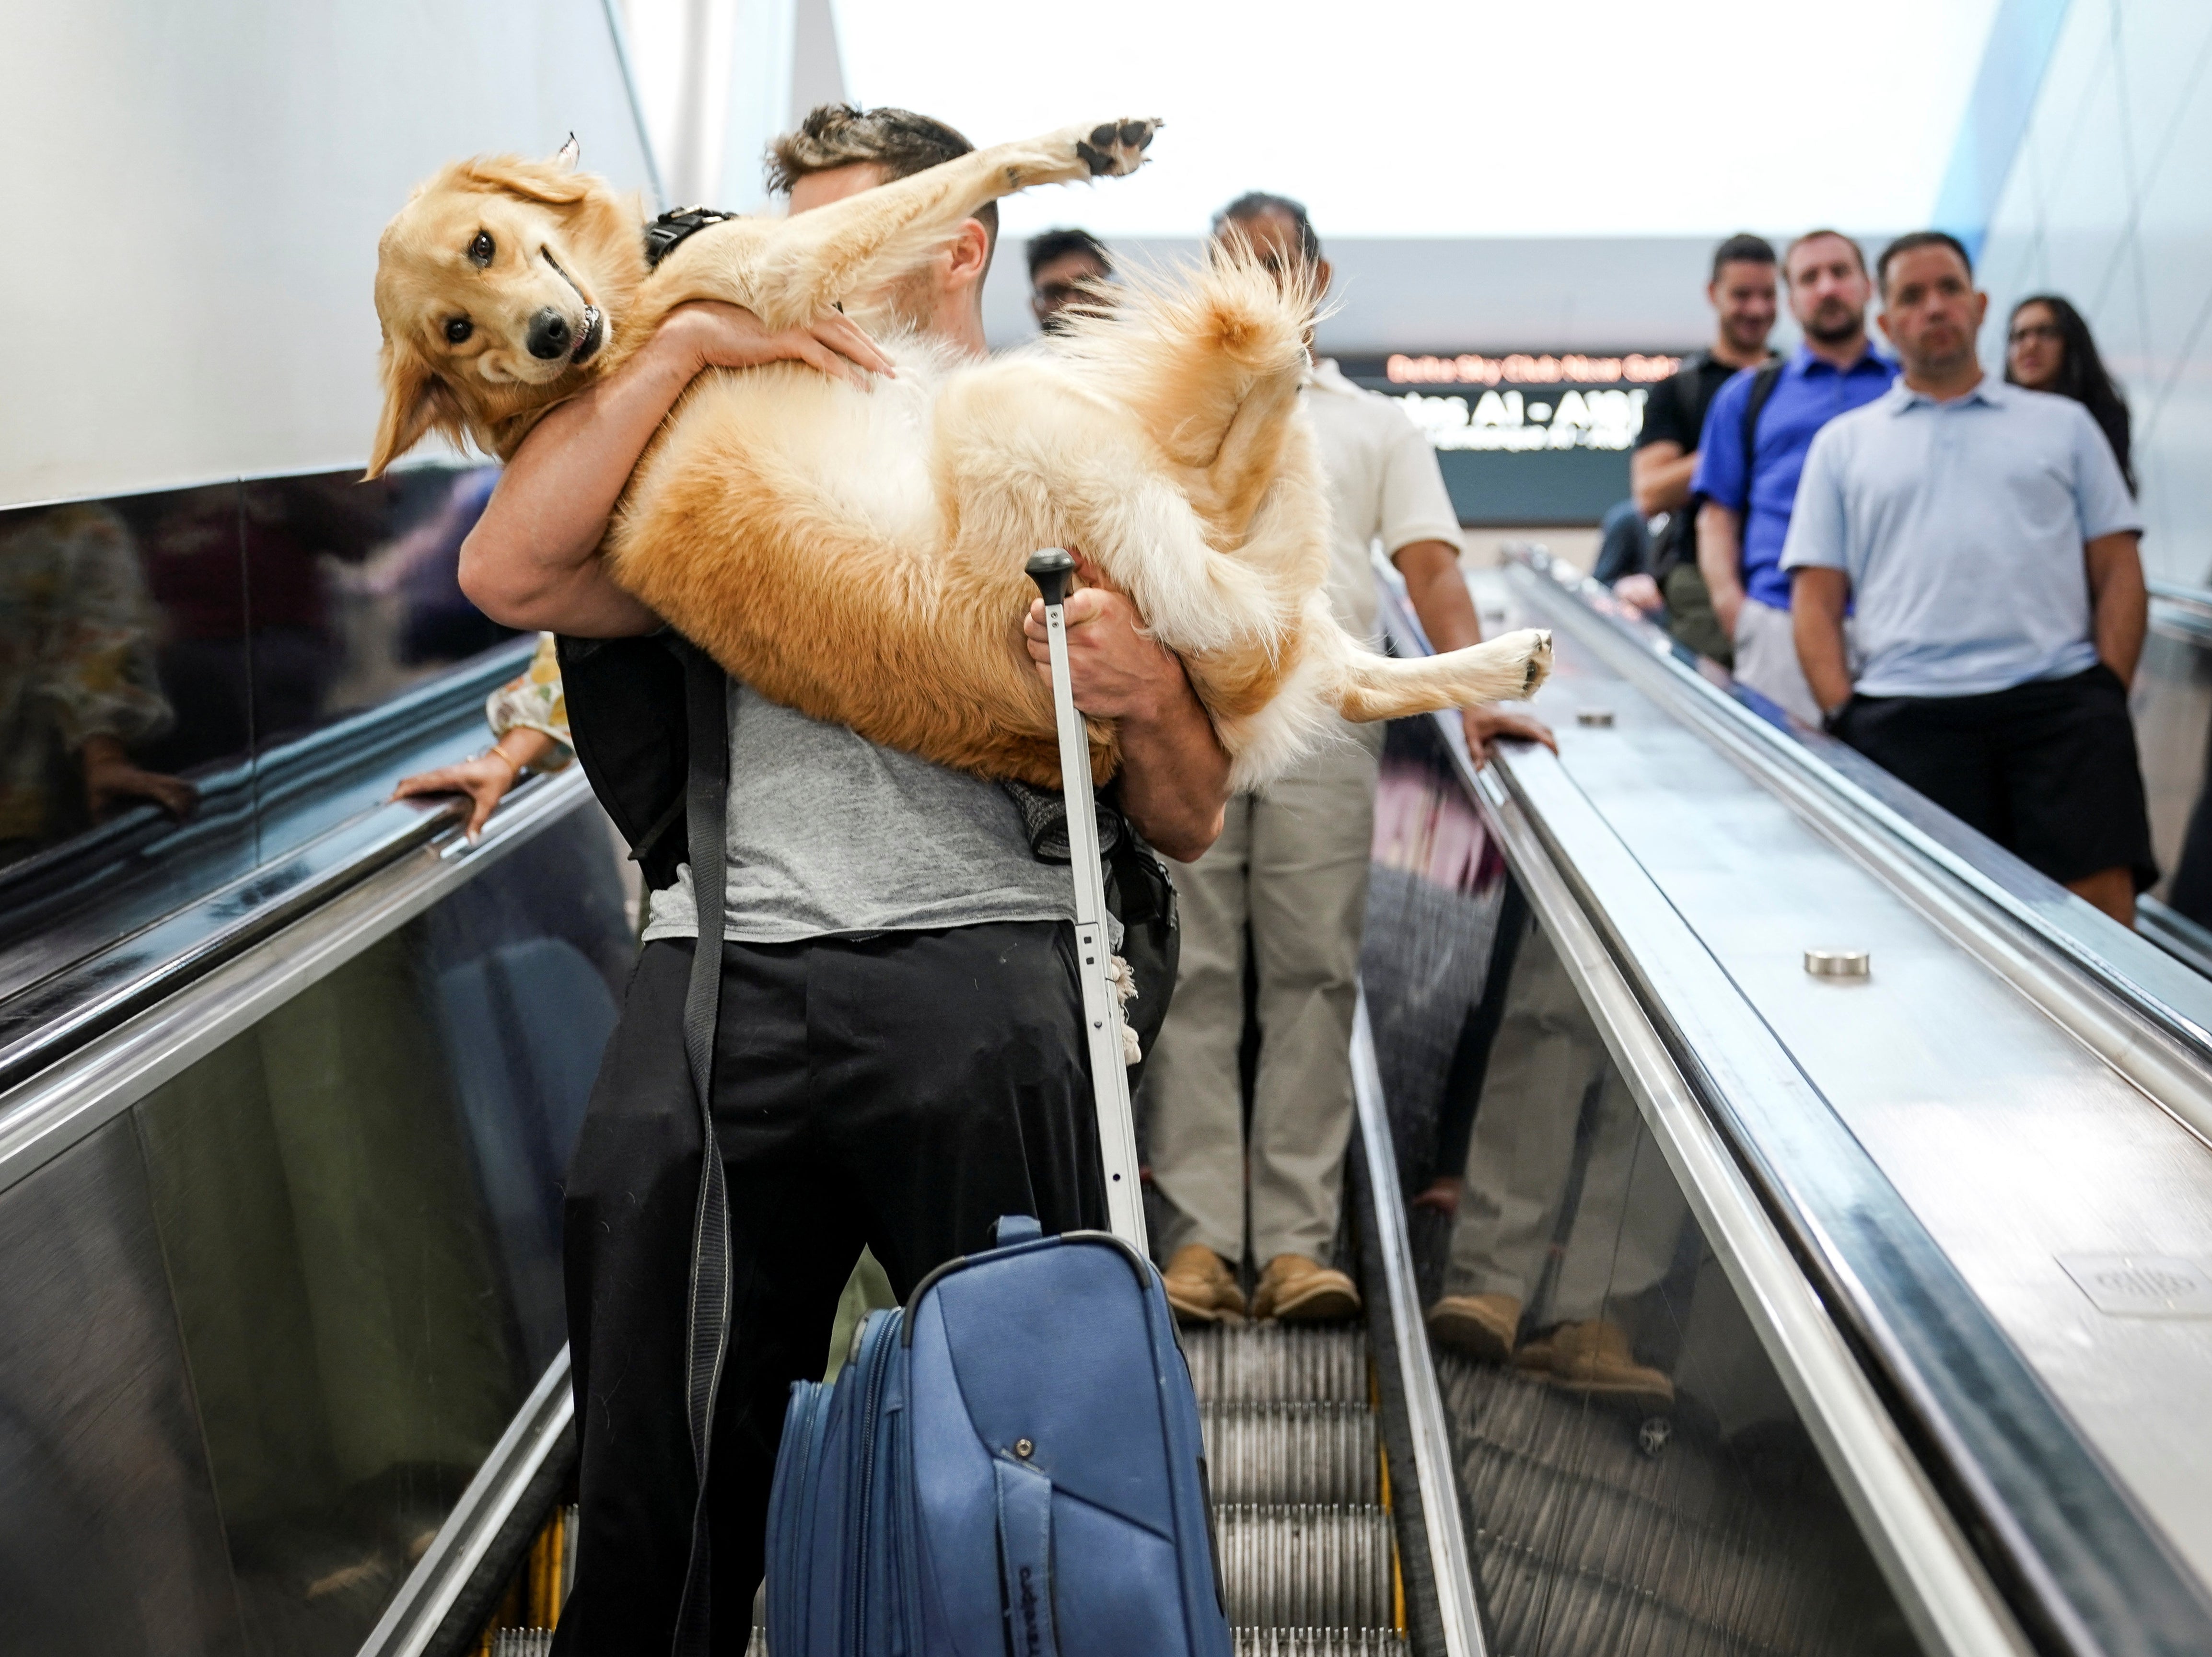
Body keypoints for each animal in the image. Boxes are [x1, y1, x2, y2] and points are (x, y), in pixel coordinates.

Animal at [367, 116, 1539, 788]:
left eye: (483, 247)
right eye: (454, 330)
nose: (549, 339)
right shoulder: (780, 268)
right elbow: (968, 172)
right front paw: (1074, 146)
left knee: (1340, 670)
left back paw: (1505, 660)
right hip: (1022, 417)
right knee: (1234, 518)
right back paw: (1266, 347)